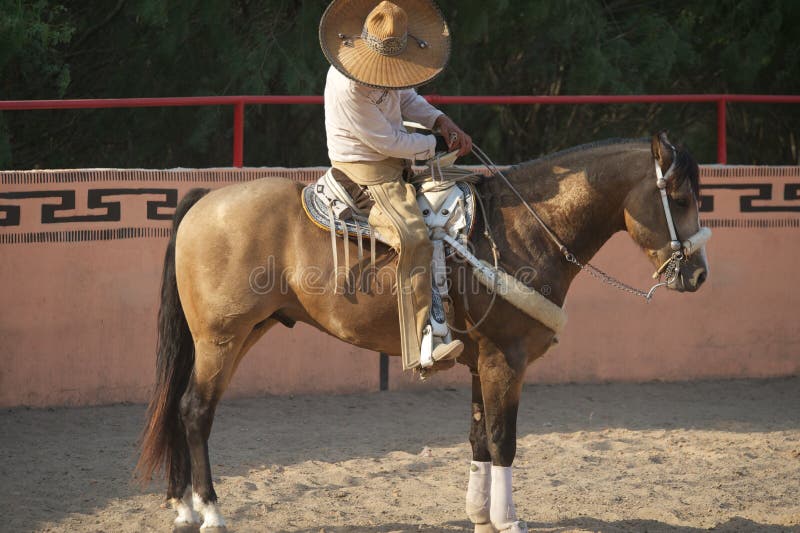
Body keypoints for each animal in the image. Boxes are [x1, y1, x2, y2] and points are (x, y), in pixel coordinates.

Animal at [136, 131, 708, 528]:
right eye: (680, 199)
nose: (698, 275)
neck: (523, 230)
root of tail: (205, 199)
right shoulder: (506, 360)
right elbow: (503, 440)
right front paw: (508, 520)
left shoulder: (482, 361)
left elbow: (478, 438)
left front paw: (480, 517)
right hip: (221, 338)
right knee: (195, 411)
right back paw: (209, 512)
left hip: (240, 333)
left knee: (181, 407)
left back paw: (182, 508)